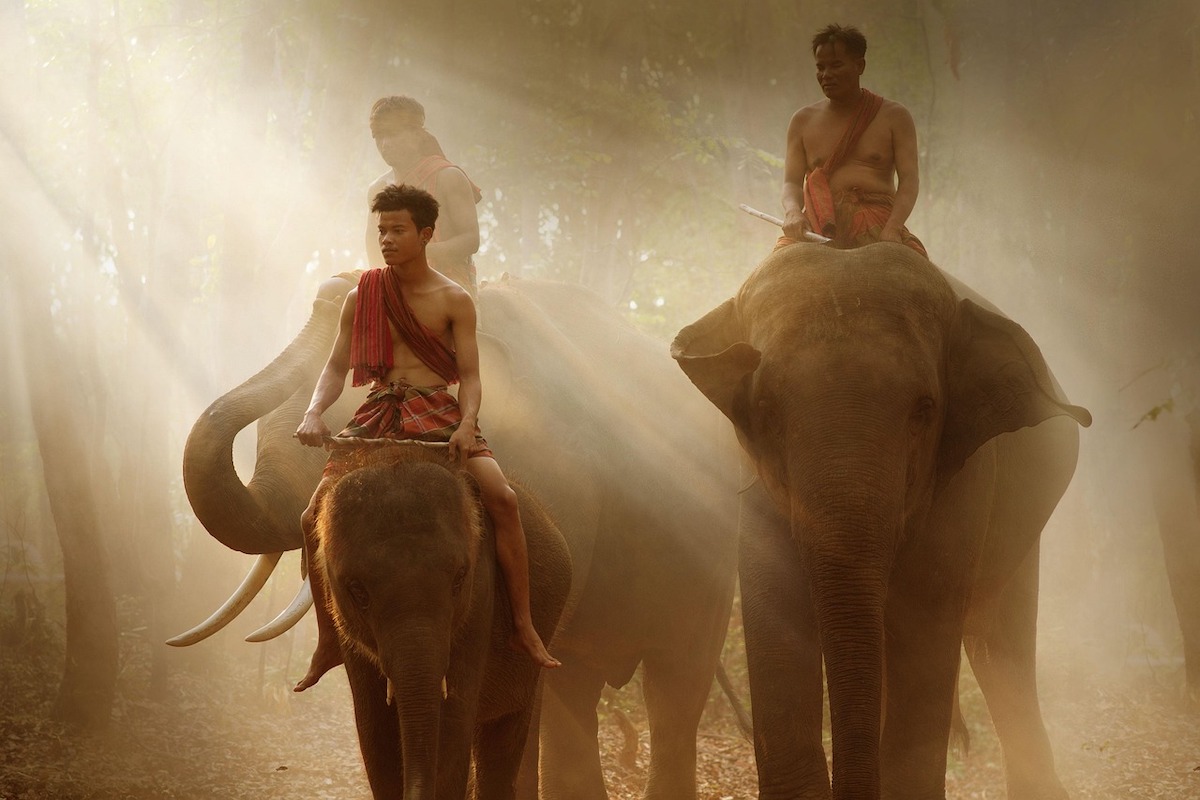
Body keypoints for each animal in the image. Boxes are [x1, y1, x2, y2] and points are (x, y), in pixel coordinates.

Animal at [315, 443, 571, 799]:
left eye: (459, 578)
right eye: (357, 590)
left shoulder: (481, 600)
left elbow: (452, 726)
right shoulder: (347, 629)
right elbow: (375, 732)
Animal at [672, 241, 1092, 800]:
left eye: (925, 409)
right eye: (764, 407)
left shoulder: (965, 477)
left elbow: (924, 618)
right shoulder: (753, 477)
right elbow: (775, 610)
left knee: (1000, 645)